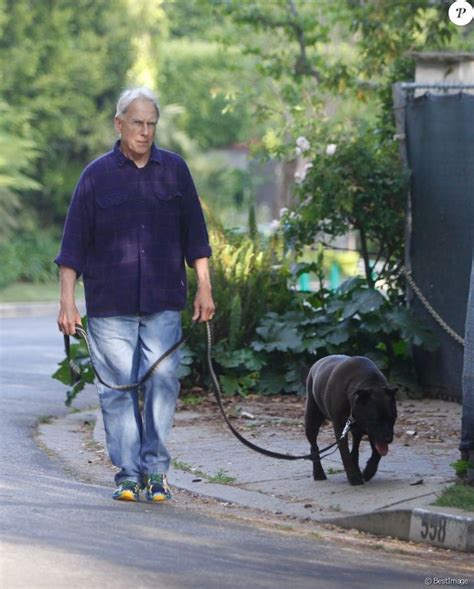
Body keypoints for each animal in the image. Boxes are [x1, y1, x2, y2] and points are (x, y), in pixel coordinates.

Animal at [304, 356, 396, 484]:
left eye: (393, 418)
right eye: (375, 421)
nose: (388, 439)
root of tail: (318, 362)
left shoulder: (372, 432)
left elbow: (376, 451)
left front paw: (368, 471)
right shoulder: (340, 428)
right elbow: (345, 453)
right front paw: (353, 478)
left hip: (357, 430)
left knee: (356, 447)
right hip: (312, 419)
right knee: (314, 446)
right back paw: (319, 473)